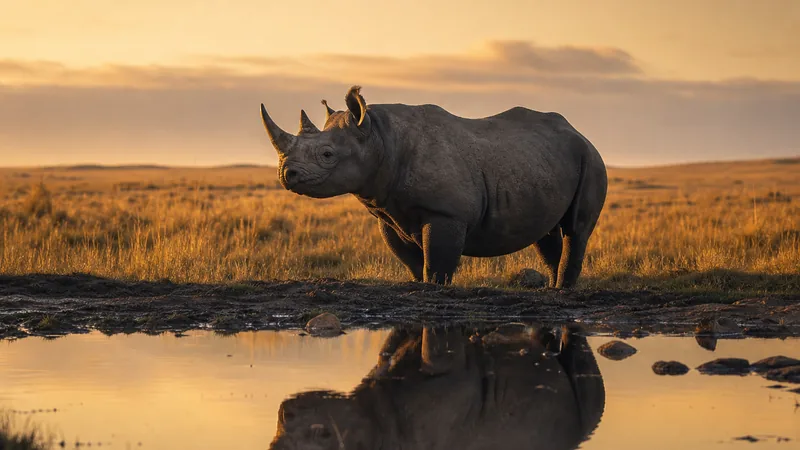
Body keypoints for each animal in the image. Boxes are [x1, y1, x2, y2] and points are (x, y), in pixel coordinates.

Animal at [260, 86, 608, 287]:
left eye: (327, 154)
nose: (286, 174)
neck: (380, 136)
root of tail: (580, 133)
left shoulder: (447, 213)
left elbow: (436, 263)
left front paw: (435, 288)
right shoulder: (389, 213)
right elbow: (412, 261)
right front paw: (419, 286)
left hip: (591, 159)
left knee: (576, 229)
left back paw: (562, 290)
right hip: (546, 160)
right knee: (546, 233)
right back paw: (551, 287)